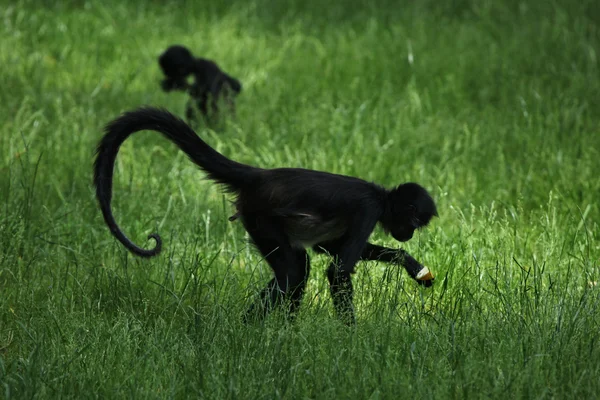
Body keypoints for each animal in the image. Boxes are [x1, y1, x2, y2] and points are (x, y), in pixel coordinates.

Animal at [95, 107, 440, 324]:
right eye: (413, 223)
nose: (408, 234)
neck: (381, 196)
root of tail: (260, 176)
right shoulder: (368, 209)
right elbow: (337, 271)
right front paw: (350, 338)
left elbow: (326, 249)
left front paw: (410, 263)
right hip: (260, 217)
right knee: (292, 274)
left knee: (298, 269)